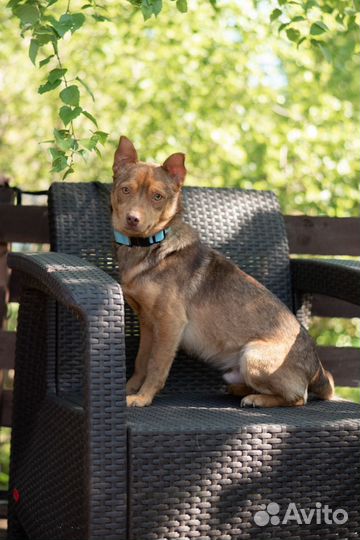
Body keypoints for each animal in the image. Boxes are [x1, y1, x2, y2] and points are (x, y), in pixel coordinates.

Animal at [110, 136, 334, 410]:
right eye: (125, 190)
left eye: (157, 197)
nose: (133, 219)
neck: (149, 246)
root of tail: (318, 371)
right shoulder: (148, 324)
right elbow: (141, 362)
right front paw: (128, 390)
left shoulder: (170, 323)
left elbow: (156, 366)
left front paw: (143, 398)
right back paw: (239, 390)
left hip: (252, 355)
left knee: (298, 398)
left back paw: (256, 398)